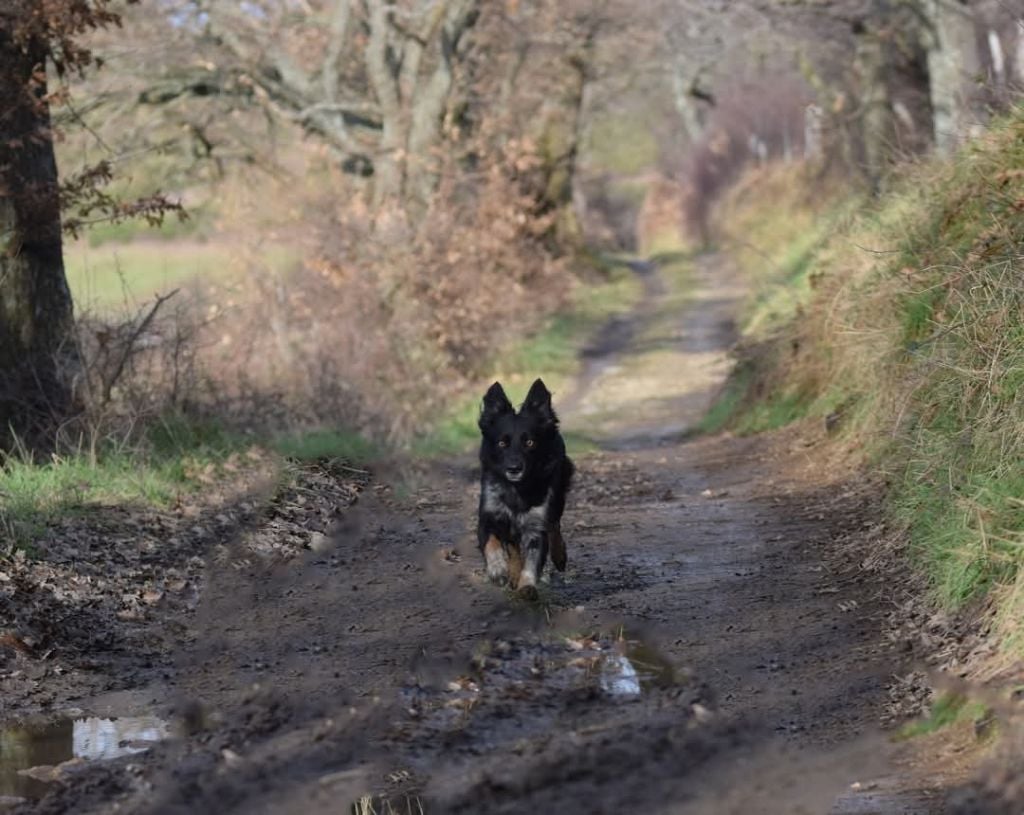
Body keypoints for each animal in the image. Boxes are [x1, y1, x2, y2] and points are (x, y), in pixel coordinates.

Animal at [475, 376, 573, 597]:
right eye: (502, 443)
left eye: (529, 442)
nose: (514, 468)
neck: (516, 488)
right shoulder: (489, 516)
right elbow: (491, 543)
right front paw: (498, 569)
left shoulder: (536, 524)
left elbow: (533, 558)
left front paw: (527, 586)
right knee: (512, 546)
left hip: (558, 495)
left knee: (554, 525)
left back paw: (559, 555)